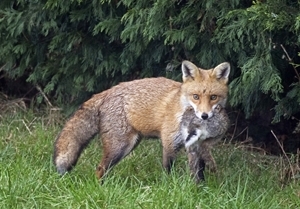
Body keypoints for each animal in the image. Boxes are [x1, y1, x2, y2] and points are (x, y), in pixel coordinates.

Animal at [53, 60, 230, 183]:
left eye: (213, 97)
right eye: (196, 97)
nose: (204, 116)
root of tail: (108, 91)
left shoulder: (195, 146)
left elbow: (199, 172)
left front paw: (200, 190)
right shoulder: (169, 142)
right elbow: (168, 170)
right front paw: (169, 187)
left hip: (130, 144)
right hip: (120, 146)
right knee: (99, 168)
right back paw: (100, 188)